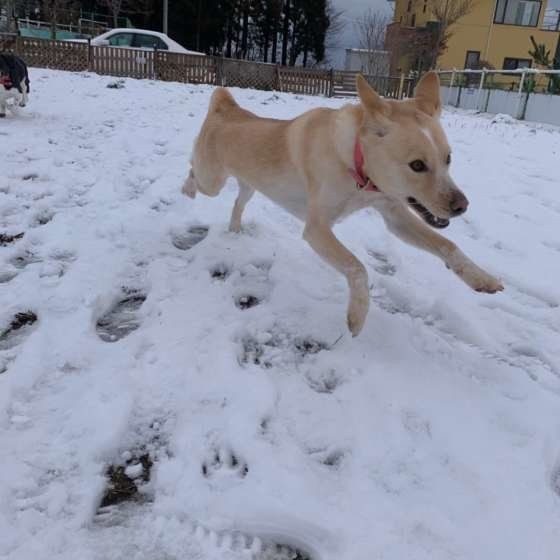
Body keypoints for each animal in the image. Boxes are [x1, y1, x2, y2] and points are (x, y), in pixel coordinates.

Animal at [183, 74, 504, 336]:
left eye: (448, 158)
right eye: (417, 165)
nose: (462, 206)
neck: (355, 162)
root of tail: (226, 107)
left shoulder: (394, 214)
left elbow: (447, 245)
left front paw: (481, 278)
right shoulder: (316, 229)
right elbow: (357, 267)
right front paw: (358, 316)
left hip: (249, 185)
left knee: (238, 202)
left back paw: (235, 228)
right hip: (212, 180)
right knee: (194, 172)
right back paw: (186, 191)